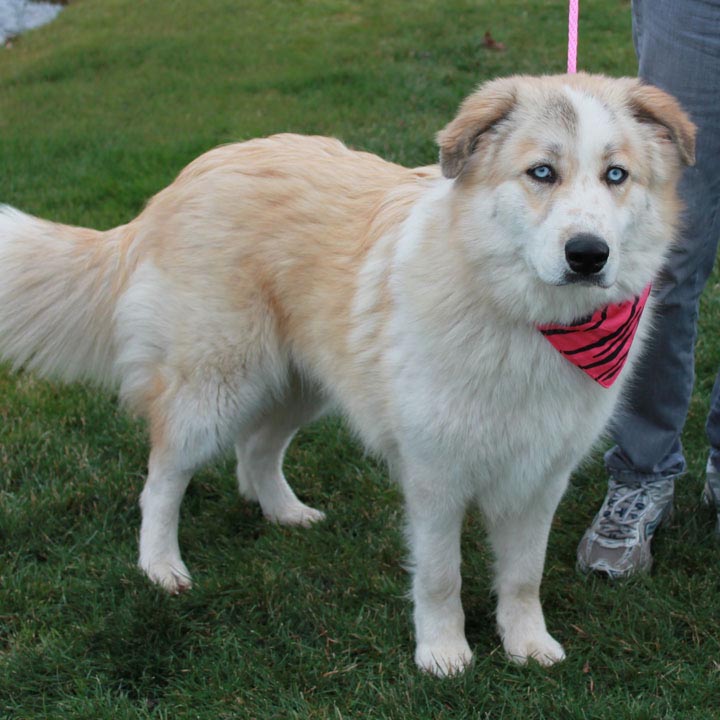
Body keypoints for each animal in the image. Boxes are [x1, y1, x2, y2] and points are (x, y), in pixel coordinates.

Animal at [1, 76, 696, 676]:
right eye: (542, 173)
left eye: (615, 175)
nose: (588, 255)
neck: (527, 321)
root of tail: (185, 179)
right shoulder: (435, 478)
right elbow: (440, 577)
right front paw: (444, 655)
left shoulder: (539, 479)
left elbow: (523, 576)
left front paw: (527, 646)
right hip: (217, 386)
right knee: (162, 481)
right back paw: (161, 568)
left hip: (299, 384)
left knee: (255, 452)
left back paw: (285, 514)